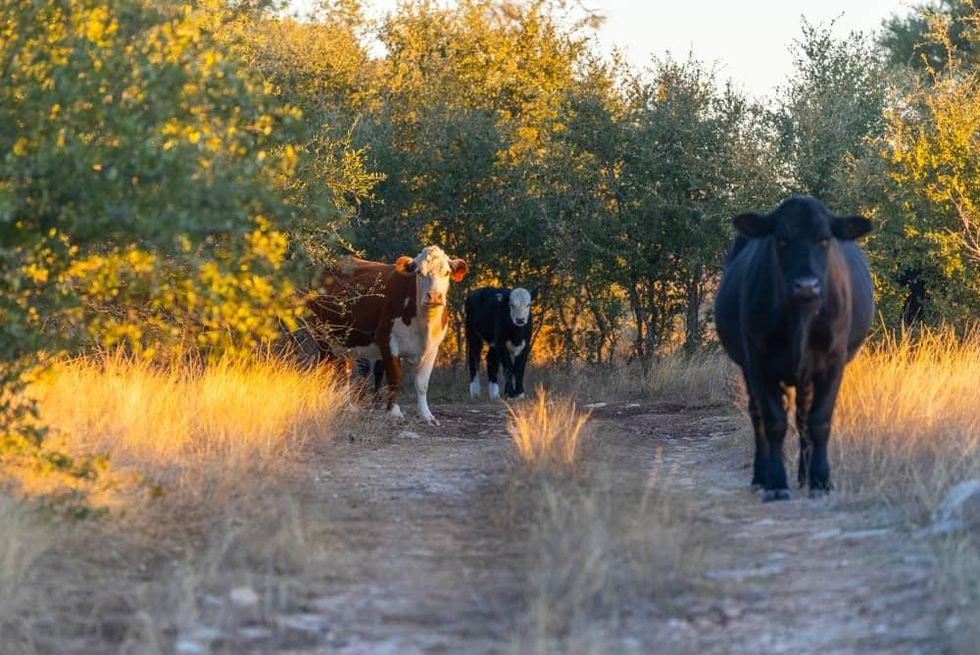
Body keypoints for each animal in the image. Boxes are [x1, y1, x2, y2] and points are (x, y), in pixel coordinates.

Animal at [307, 246, 468, 425]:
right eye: (419, 272)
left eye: (446, 272)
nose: (434, 296)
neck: (423, 325)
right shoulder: (387, 339)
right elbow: (395, 376)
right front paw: (393, 411)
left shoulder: (432, 348)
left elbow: (422, 384)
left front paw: (426, 415)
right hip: (321, 336)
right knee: (326, 367)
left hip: (346, 342)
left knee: (344, 371)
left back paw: (347, 406)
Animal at [714, 196, 873, 502]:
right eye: (781, 239)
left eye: (824, 239)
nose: (806, 286)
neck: (801, 318)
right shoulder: (757, 363)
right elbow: (774, 422)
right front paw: (776, 483)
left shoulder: (833, 362)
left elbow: (819, 421)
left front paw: (821, 480)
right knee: (758, 417)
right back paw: (760, 476)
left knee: (802, 418)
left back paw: (804, 475)